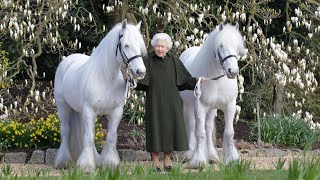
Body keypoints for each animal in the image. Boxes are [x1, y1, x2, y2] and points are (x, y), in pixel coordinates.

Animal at [53, 19, 146, 172]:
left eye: (140, 46)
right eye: (126, 45)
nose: (140, 71)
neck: (106, 78)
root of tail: (68, 60)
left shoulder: (116, 112)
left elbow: (111, 136)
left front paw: (109, 163)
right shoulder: (90, 110)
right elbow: (89, 137)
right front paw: (86, 166)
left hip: (80, 111)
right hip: (63, 107)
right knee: (65, 131)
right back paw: (63, 162)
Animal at [180, 23, 245, 168]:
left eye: (237, 46)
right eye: (221, 45)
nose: (233, 71)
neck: (216, 79)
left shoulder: (230, 106)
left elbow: (228, 132)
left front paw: (232, 159)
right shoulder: (200, 106)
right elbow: (199, 133)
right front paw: (198, 161)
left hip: (212, 109)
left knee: (209, 128)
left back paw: (212, 156)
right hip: (188, 106)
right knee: (191, 126)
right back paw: (189, 154)